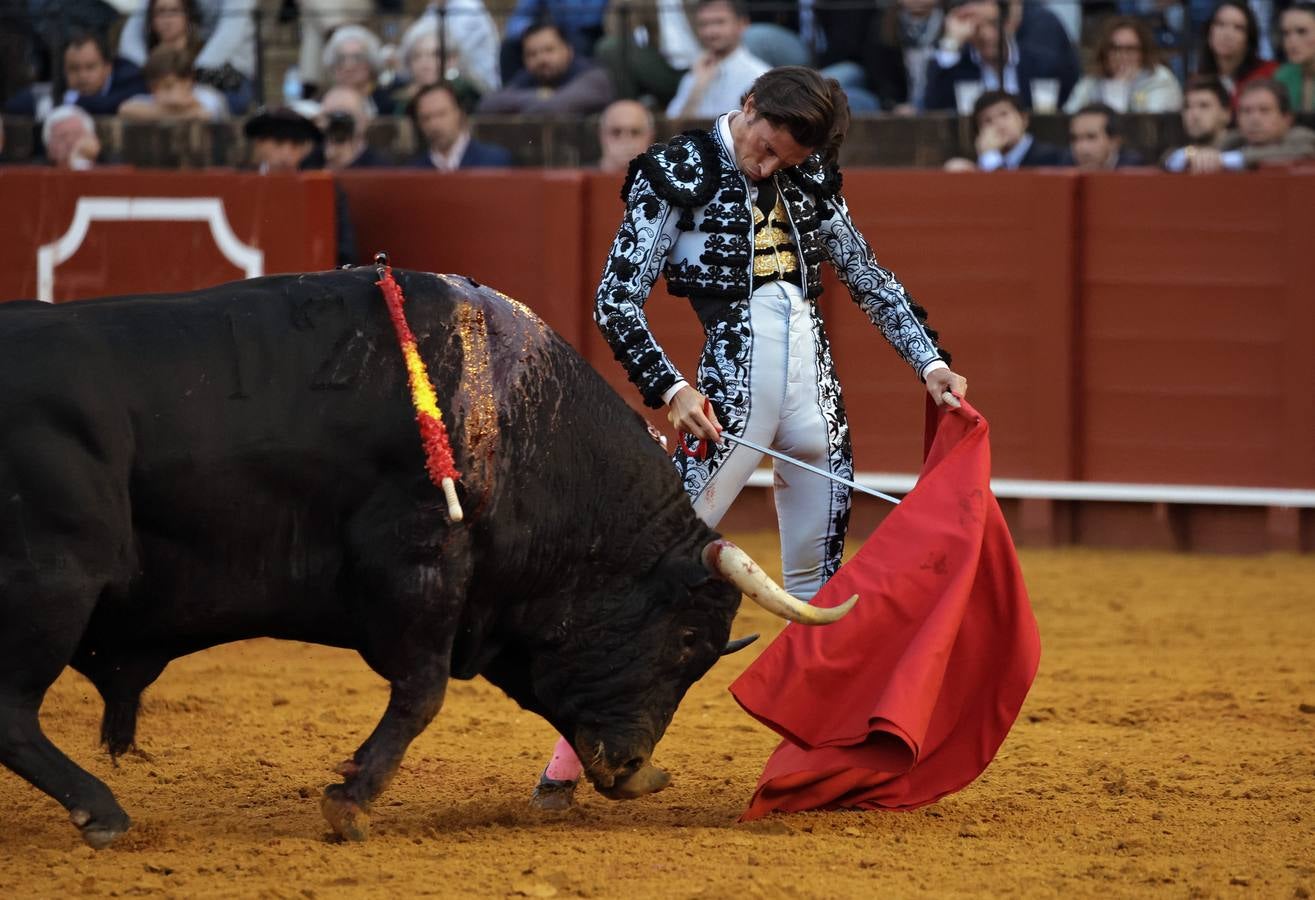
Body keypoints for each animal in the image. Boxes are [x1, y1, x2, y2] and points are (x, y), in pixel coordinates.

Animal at [0, 268, 852, 852]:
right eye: (684, 644)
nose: (641, 773)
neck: (522, 425)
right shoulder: (419, 568)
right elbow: (422, 693)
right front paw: (349, 802)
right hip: (49, 588)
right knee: (12, 713)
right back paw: (104, 813)